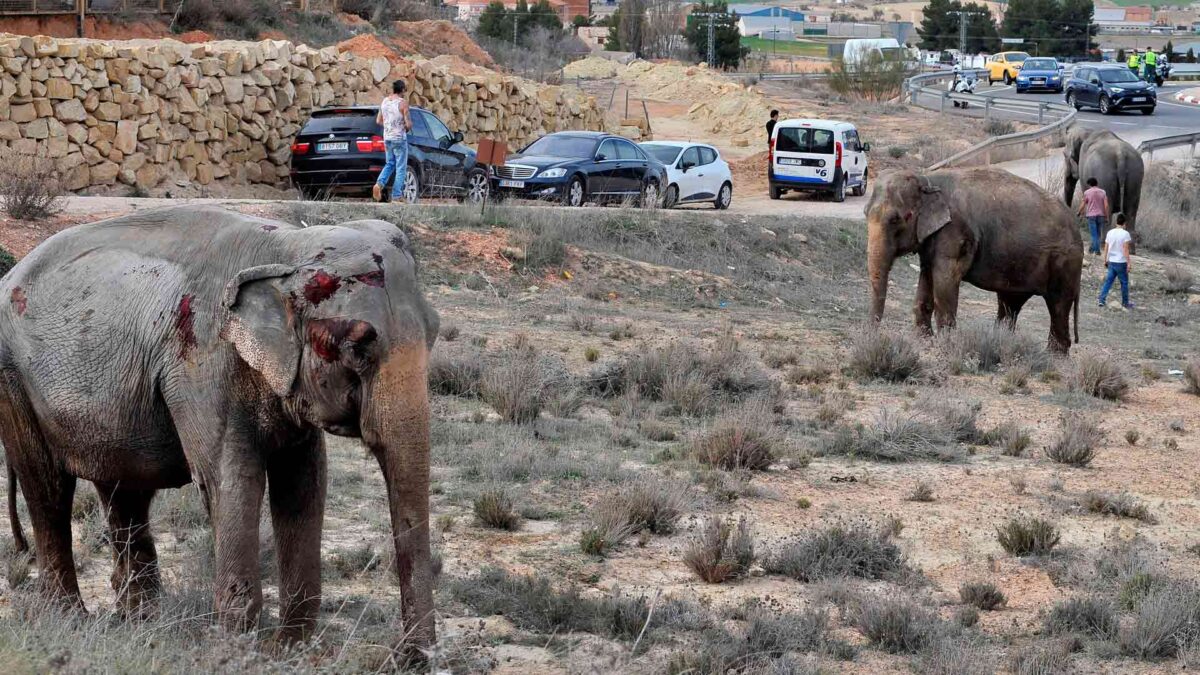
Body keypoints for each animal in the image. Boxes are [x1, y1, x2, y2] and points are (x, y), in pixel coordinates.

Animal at [0, 204, 441, 648]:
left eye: (435, 331)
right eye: (357, 347)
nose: (411, 656)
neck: (288, 248)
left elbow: (304, 483)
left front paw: (289, 650)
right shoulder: (202, 364)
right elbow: (232, 480)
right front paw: (235, 649)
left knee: (124, 492)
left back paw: (139, 623)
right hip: (14, 380)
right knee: (48, 488)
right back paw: (70, 618)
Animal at [864, 166, 1089, 353]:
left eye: (896, 219)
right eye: (865, 213)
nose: (875, 337)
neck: (927, 179)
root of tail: (1076, 226)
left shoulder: (954, 233)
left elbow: (945, 282)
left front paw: (946, 345)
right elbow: (926, 278)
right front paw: (923, 341)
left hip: (1064, 262)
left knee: (1058, 304)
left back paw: (1054, 356)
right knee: (1010, 303)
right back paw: (1003, 343)